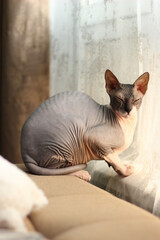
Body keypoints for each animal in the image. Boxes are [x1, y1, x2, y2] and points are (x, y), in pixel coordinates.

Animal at [20, 70, 149, 181]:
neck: (126, 123)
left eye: (136, 100)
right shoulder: (95, 138)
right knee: (57, 170)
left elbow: (114, 160)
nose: (128, 110)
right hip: (68, 136)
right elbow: (114, 159)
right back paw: (83, 174)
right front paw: (126, 170)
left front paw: (121, 168)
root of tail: (25, 155)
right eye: (119, 99)